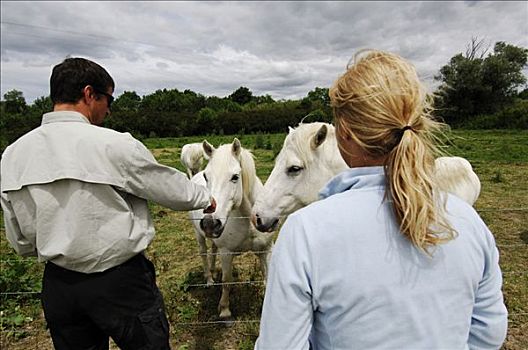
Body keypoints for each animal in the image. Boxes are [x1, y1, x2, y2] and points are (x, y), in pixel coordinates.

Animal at [190, 138, 274, 322]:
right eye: (207, 176)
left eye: (235, 177)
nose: (209, 223)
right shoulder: (227, 252)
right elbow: (227, 281)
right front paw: (224, 310)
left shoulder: (265, 250)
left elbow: (268, 276)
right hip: (199, 235)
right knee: (204, 252)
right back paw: (209, 279)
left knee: (213, 250)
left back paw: (213, 271)